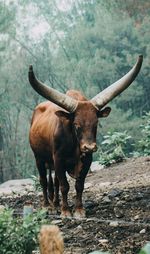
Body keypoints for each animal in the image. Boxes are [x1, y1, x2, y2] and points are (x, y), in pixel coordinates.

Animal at [28, 55, 143, 218]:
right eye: (76, 124)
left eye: (96, 123)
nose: (89, 147)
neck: (74, 145)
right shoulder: (58, 159)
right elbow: (64, 185)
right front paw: (65, 211)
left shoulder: (87, 159)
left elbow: (79, 185)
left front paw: (79, 210)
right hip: (39, 158)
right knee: (44, 180)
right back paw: (47, 206)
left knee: (54, 181)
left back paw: (55, 205)